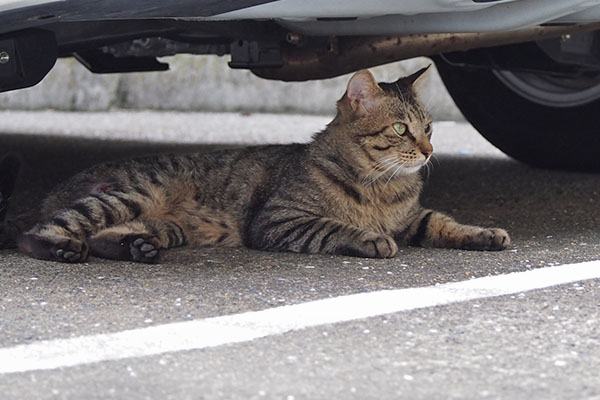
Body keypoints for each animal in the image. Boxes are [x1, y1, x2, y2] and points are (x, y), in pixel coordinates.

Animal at [0, 67, 508, 264]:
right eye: (402, 129)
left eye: (430, 127)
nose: (427, 151)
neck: (381, 186)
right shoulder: (279, 221)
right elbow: (335, 227)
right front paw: (369, 238)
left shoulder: (413, 218)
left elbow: (445, 223)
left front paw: (485, 234)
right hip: (128, 194)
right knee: (39, 233)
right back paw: (62, 249)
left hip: (165, 226)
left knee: (103, 237)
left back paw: (135, 248)